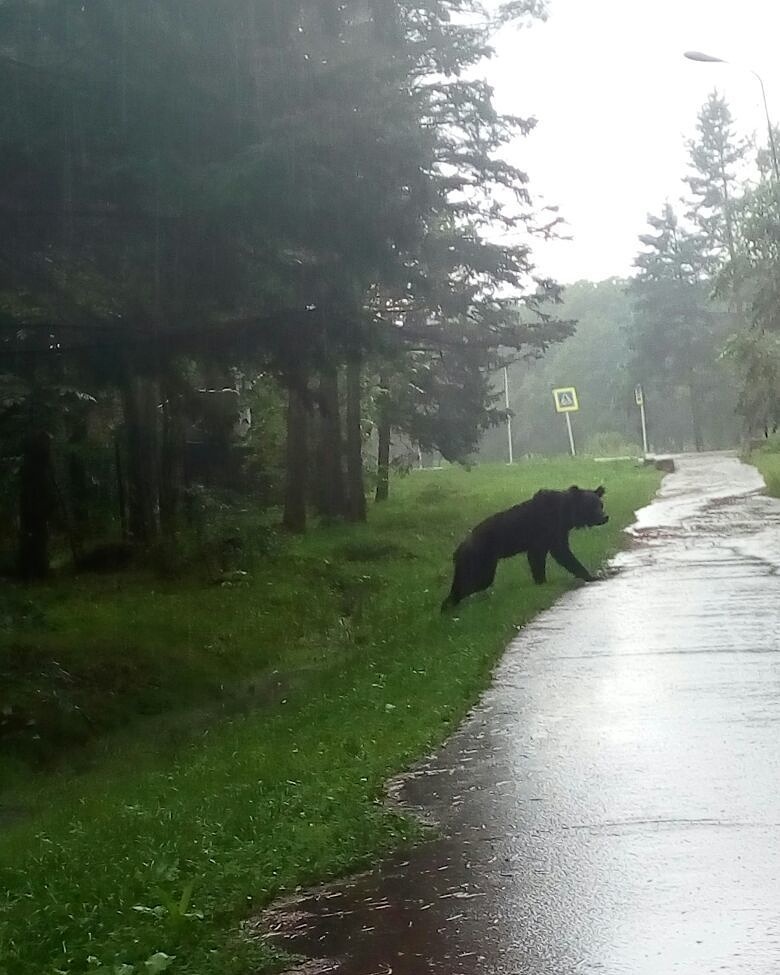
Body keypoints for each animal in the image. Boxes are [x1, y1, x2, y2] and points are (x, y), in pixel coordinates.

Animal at [442, 486, 608, 612]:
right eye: (592, 505)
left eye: (601, 504)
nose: (605, 517)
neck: (566, 516)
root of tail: (458, 550)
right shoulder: (546, 530)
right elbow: (558, 554)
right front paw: (591, 576)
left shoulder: (556, 533)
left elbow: (549, 556)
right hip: (480, 559)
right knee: (475, 582)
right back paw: (448, 606)